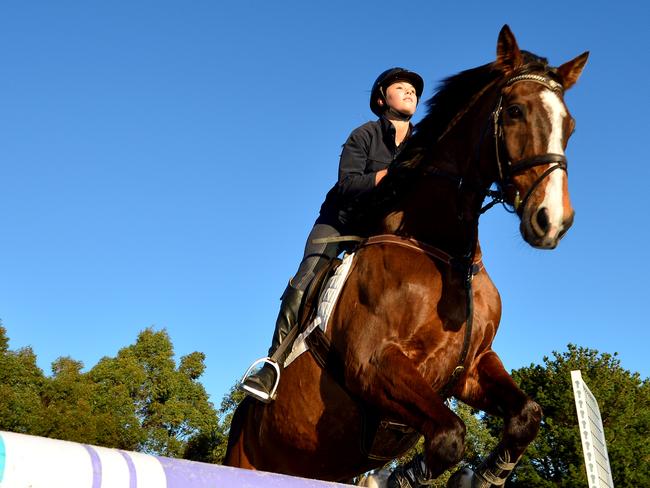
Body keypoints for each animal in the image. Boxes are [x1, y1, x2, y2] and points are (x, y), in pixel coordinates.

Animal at [224, 26, 588, 488]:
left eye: (570, 126)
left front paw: (482, 477)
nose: (553, 220)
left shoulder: (471, 368)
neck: (446, 253)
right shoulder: (373, 364)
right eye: (515, 111)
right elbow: (450, 436)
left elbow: (526, 415)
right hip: (245, 459)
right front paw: (400, 478)